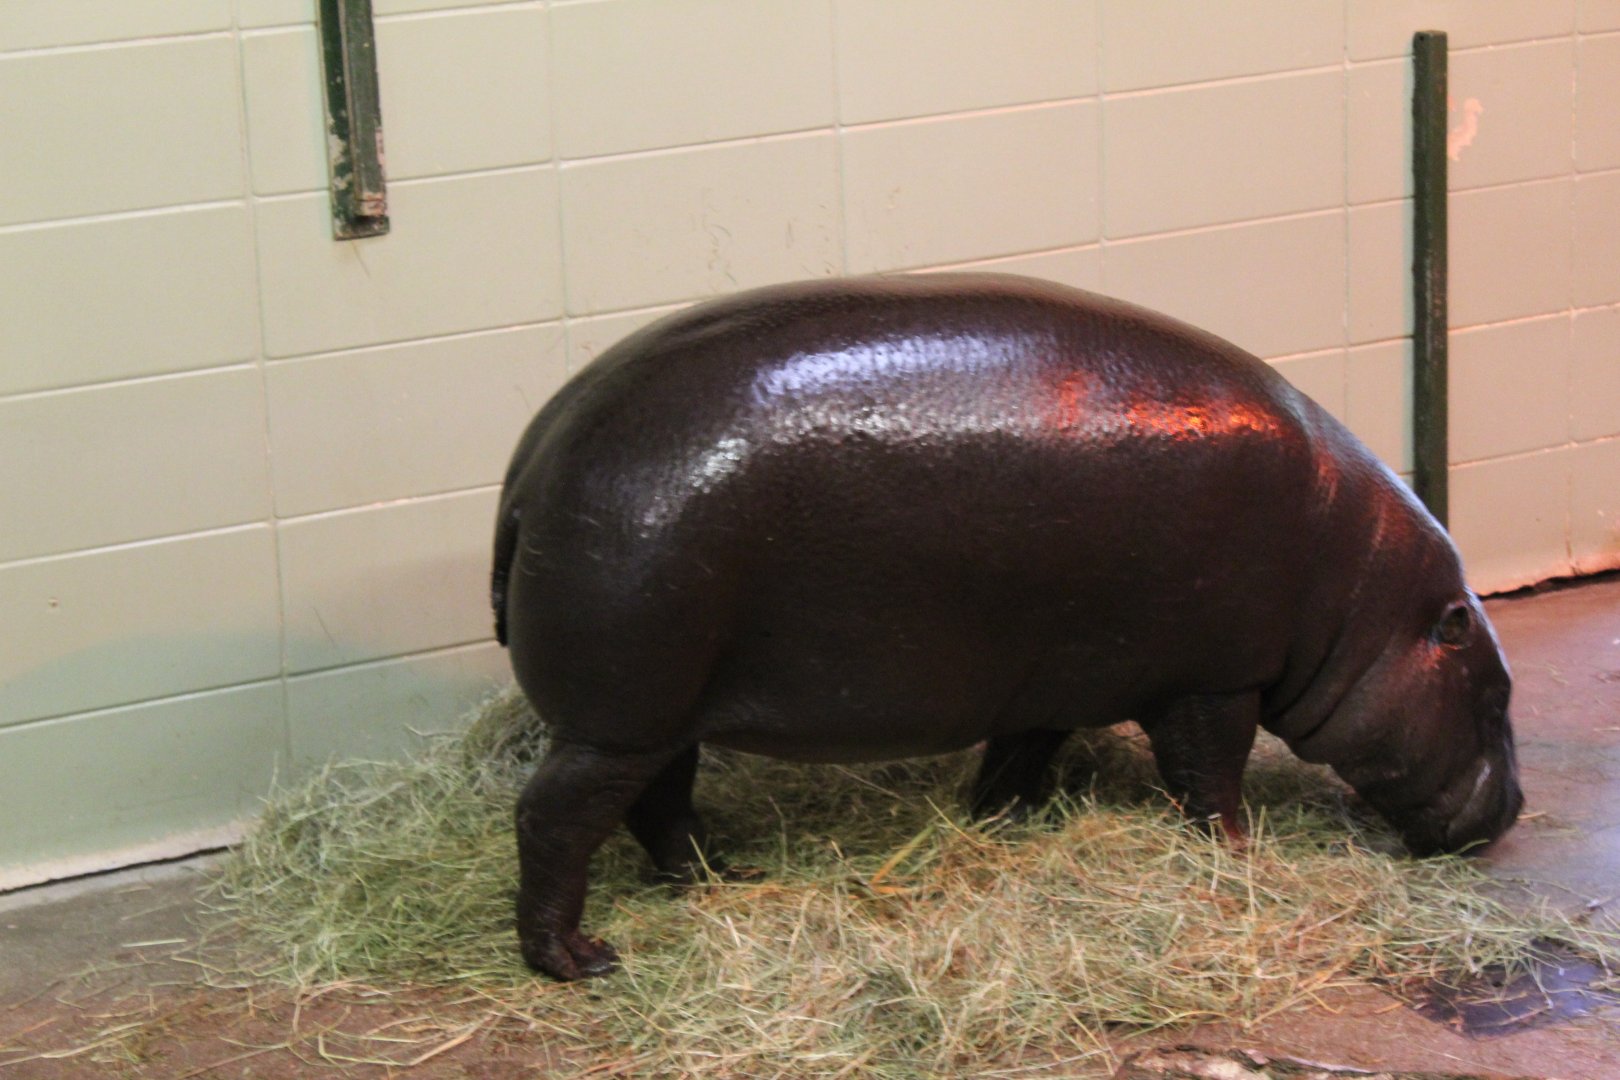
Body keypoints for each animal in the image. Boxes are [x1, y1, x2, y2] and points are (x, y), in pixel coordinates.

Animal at [491, 273, 1522, 981]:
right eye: (1497, 693)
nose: (1512, 813)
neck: (1357, 592)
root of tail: (531, 461)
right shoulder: (1214, 679)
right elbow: (1208, 775)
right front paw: (1238, 854)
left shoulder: (1052, 671)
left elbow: (1022, 754)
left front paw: (1002, 821)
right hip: (618, 713)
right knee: (556, 817)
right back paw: (579, 959)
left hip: (660, 710)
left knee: (660, 799)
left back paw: (718, 879)